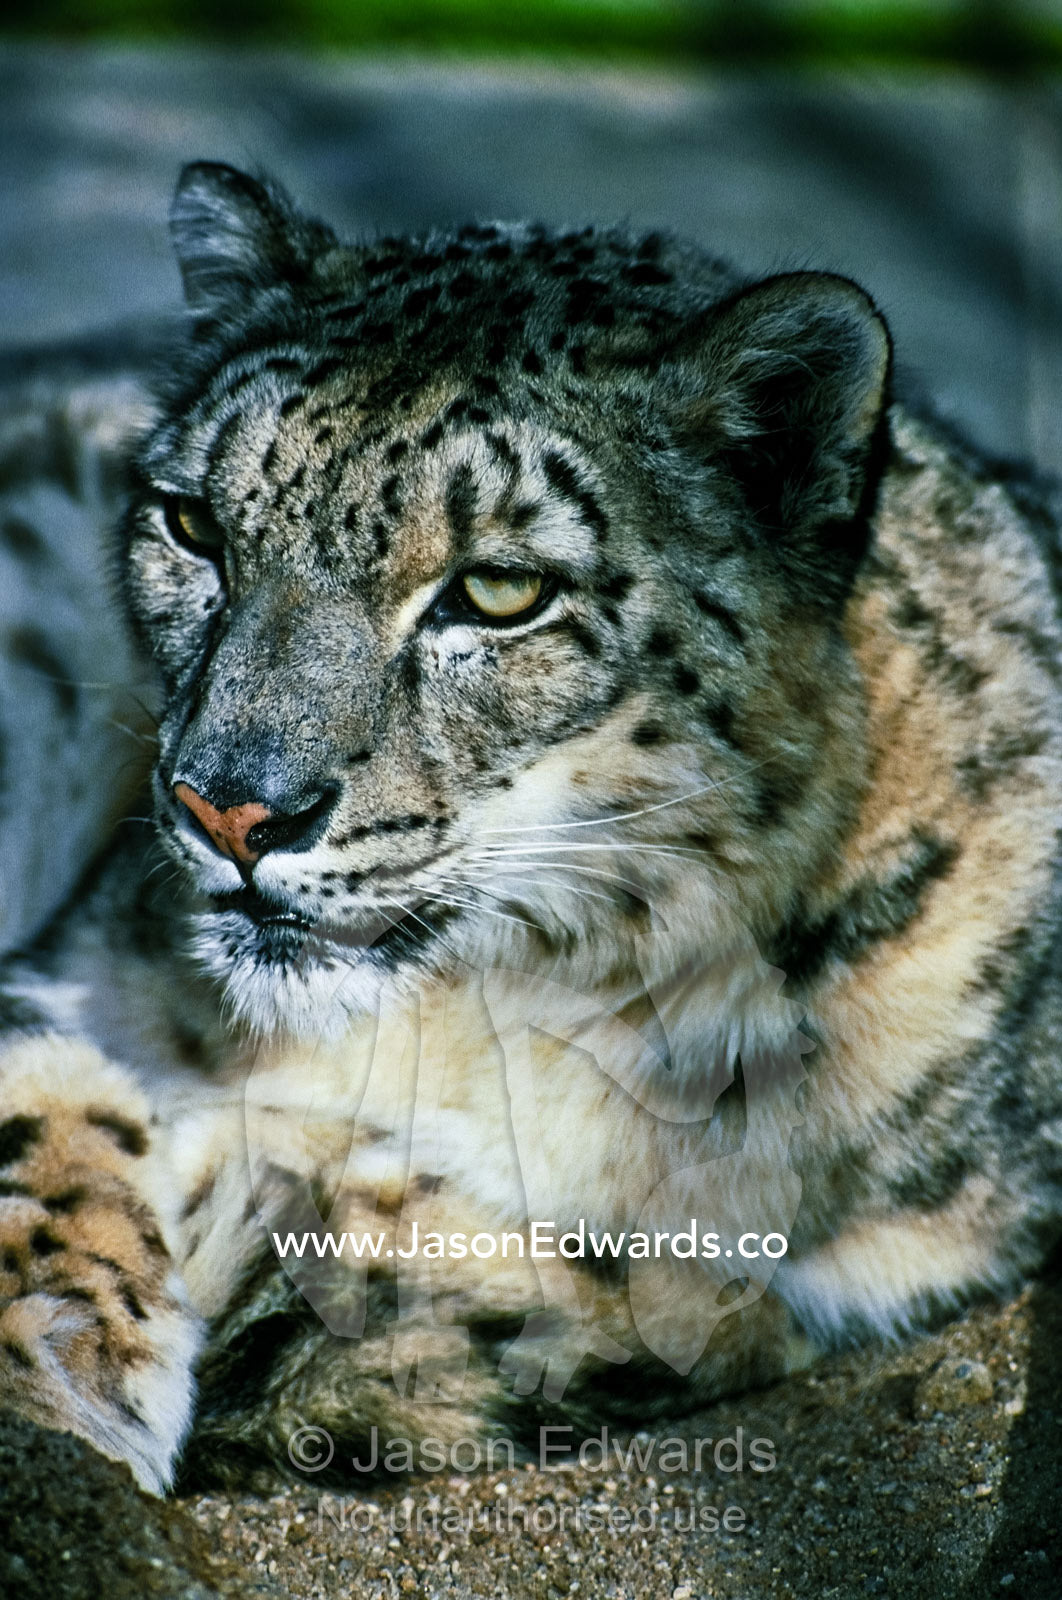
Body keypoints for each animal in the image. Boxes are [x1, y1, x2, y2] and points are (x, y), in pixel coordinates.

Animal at [0, 161, 1060, 1496]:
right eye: (195, 525)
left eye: (501, 590)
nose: (230, 808)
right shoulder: (72, 965)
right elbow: (36, 1114)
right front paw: (61, 1394)